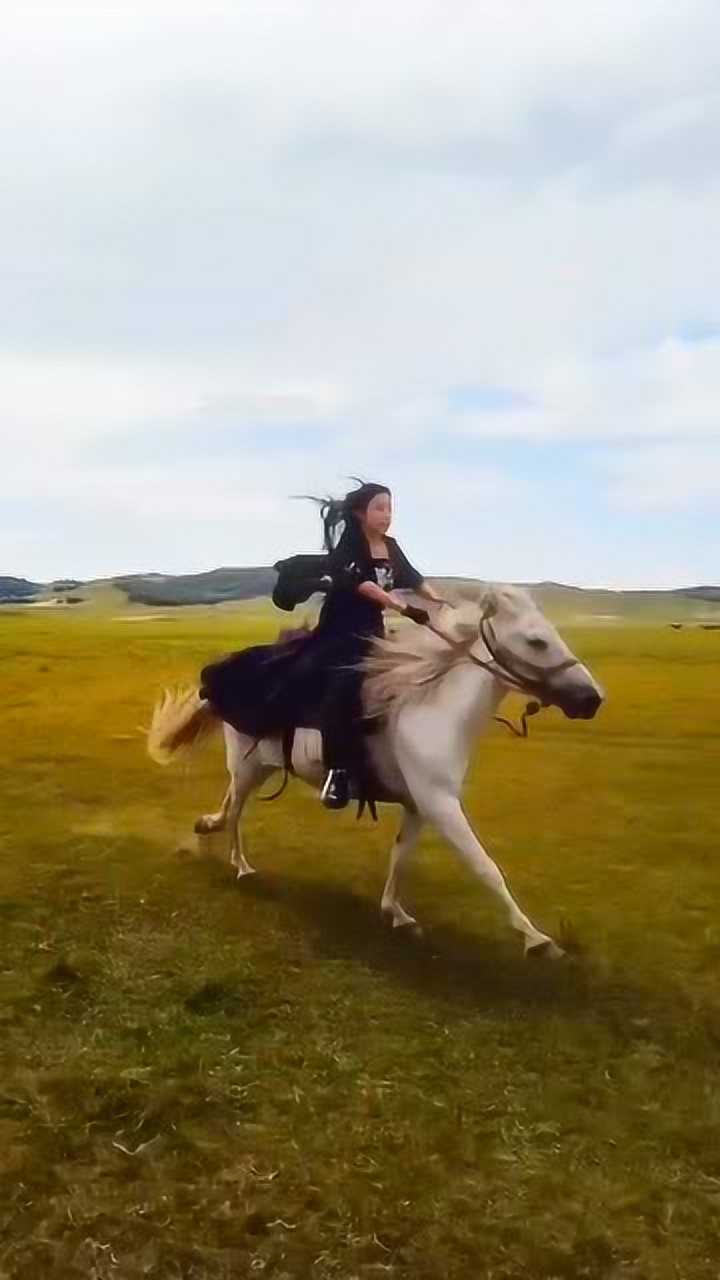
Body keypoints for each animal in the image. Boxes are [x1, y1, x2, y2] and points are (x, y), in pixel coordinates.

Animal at [147, 585, 604, 959]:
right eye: (537, 641)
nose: (593, 699)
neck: (430, 707)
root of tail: (219, 677)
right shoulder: (441, 804)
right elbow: (485, 866)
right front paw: (536, 938)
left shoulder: (420, 806)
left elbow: (400, 855)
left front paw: (396, 913)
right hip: (246, 764)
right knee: (238, 811)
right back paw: (241, 865)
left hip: (260, 765)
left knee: (230, 803)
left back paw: (208, 828)